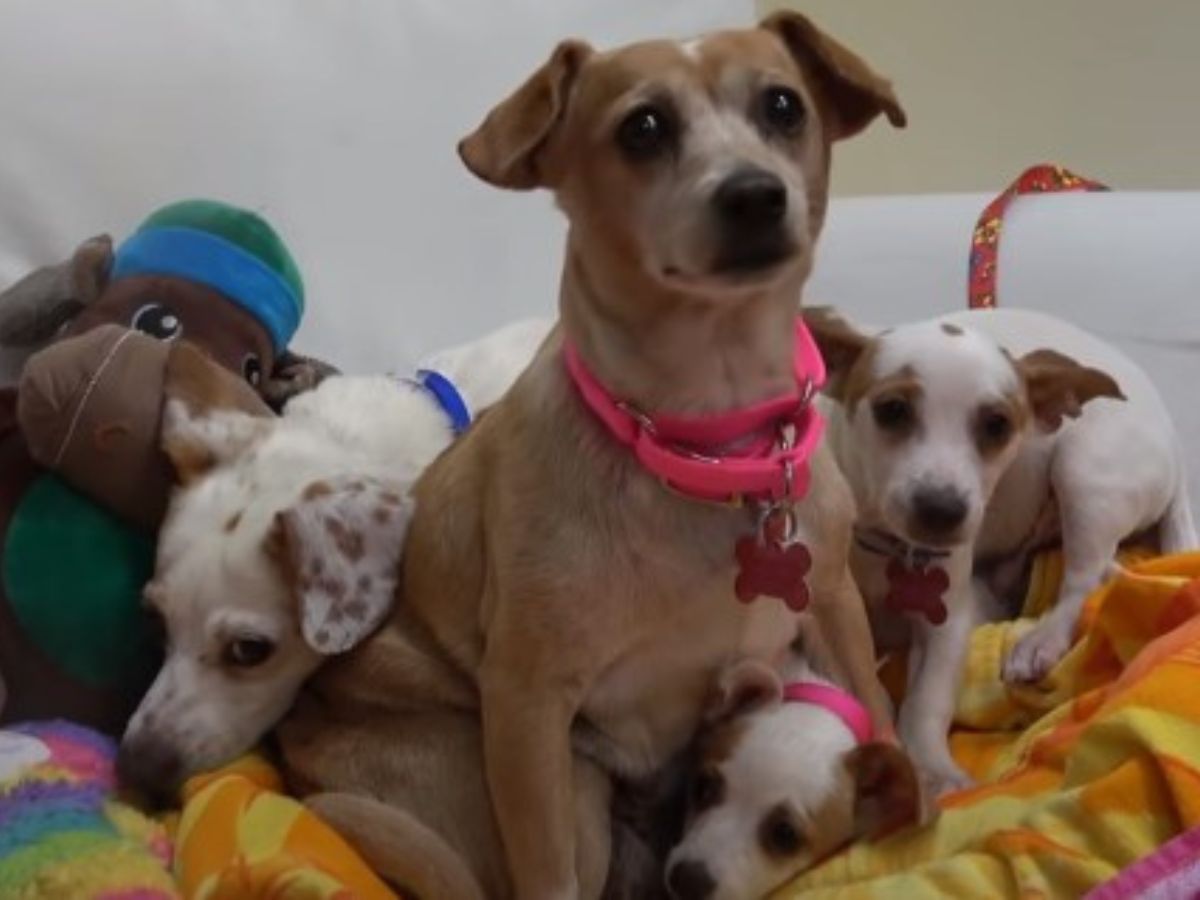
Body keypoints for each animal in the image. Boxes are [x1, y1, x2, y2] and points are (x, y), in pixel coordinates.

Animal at [276, 12, 902, 900]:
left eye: (784, 106)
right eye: (642, 127)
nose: (754, 194)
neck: (713, 450)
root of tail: (301, 755)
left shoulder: (836, 598)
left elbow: (879, 706)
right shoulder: (528, 707)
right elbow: (545, 874)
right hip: (570, 791)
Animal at [806, 309, 1190, 796]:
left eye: (997, 425)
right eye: (892, 409)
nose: (942, 509)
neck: (887, 546)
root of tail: (1173, 439)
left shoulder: (946, 621)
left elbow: (925, 703)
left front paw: (934, 769)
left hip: (1085, 470)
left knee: (1083, 579)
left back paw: (1041, 640)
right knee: (1105, 568)